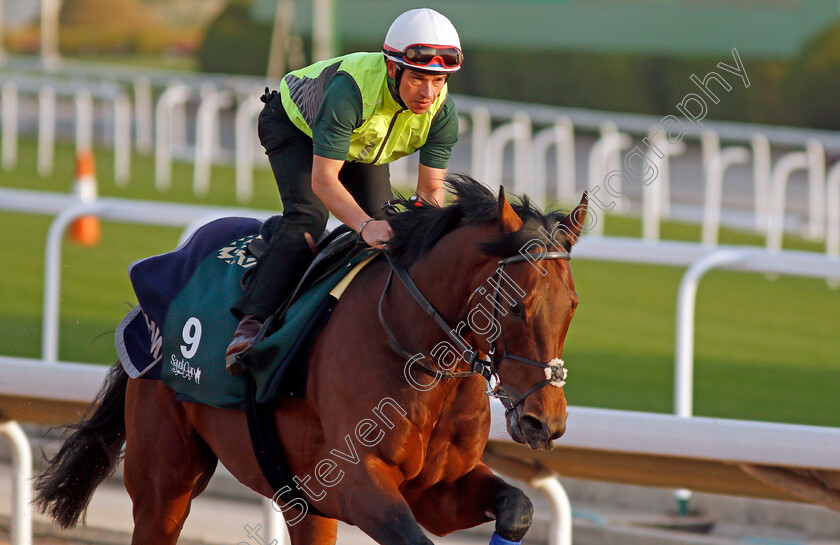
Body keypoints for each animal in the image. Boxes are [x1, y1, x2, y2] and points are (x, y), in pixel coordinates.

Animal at [36, 177, 588, 544]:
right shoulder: (354, 483)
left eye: (573, 305)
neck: (421, 353)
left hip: (301, 501)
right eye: (516, 303)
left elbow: (517, 507)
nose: (546, 421)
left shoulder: (437, 488)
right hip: (165, 478)